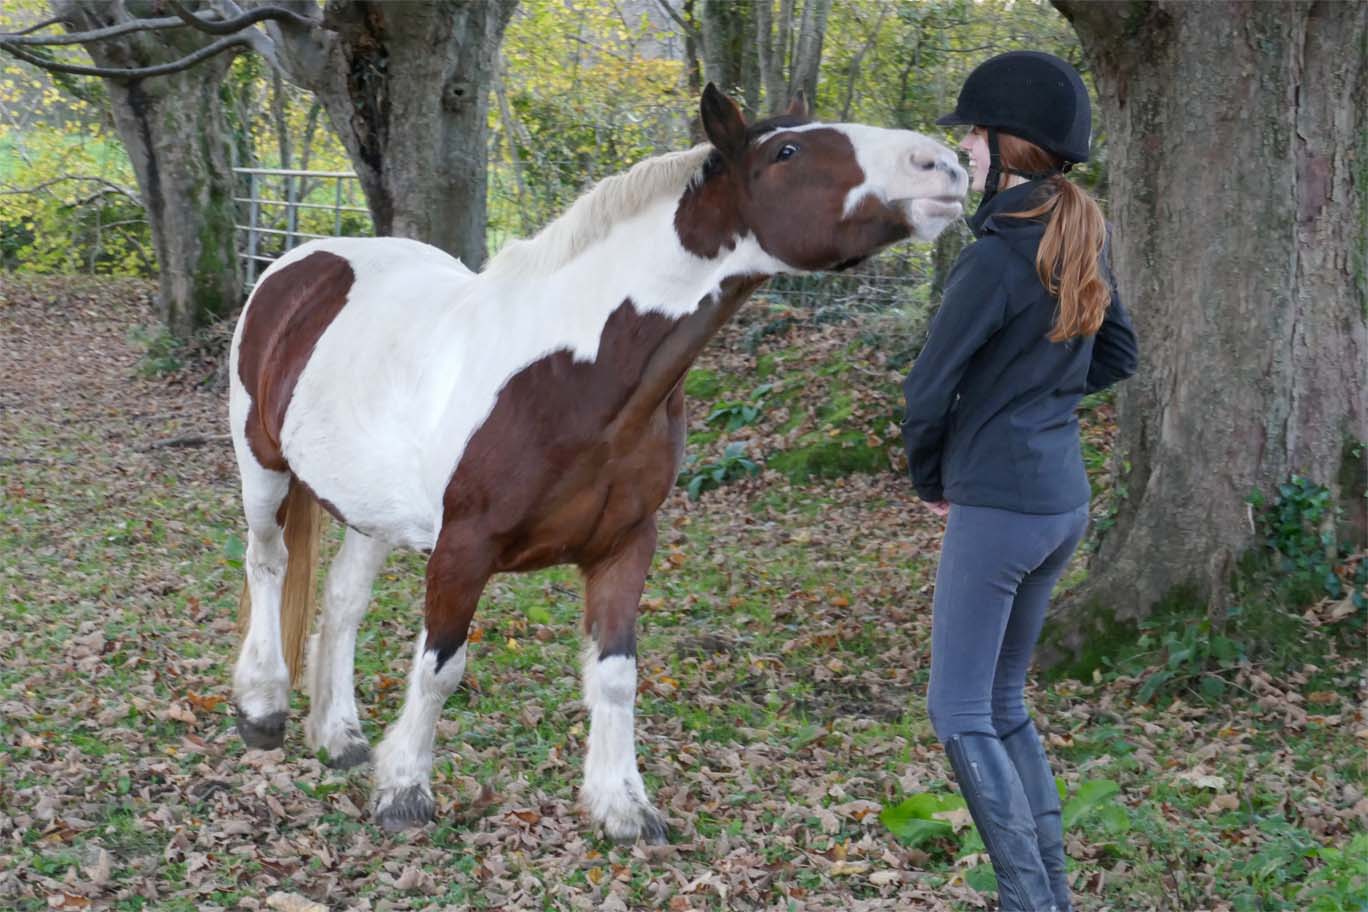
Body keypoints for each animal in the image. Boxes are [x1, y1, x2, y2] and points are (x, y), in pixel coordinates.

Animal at [229, 85, 963, 842]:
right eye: (787, 151)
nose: (944, 166)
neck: (574, 376)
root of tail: (302, 261)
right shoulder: (463, 548)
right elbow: (440, 667)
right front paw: (405, 791)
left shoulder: (625, 545)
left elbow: (615, 675)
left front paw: (623, 805)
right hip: (262, 463)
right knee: (268, 562)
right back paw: (263, 707)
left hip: (370, 507)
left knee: (344, 600)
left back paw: (338, 734)